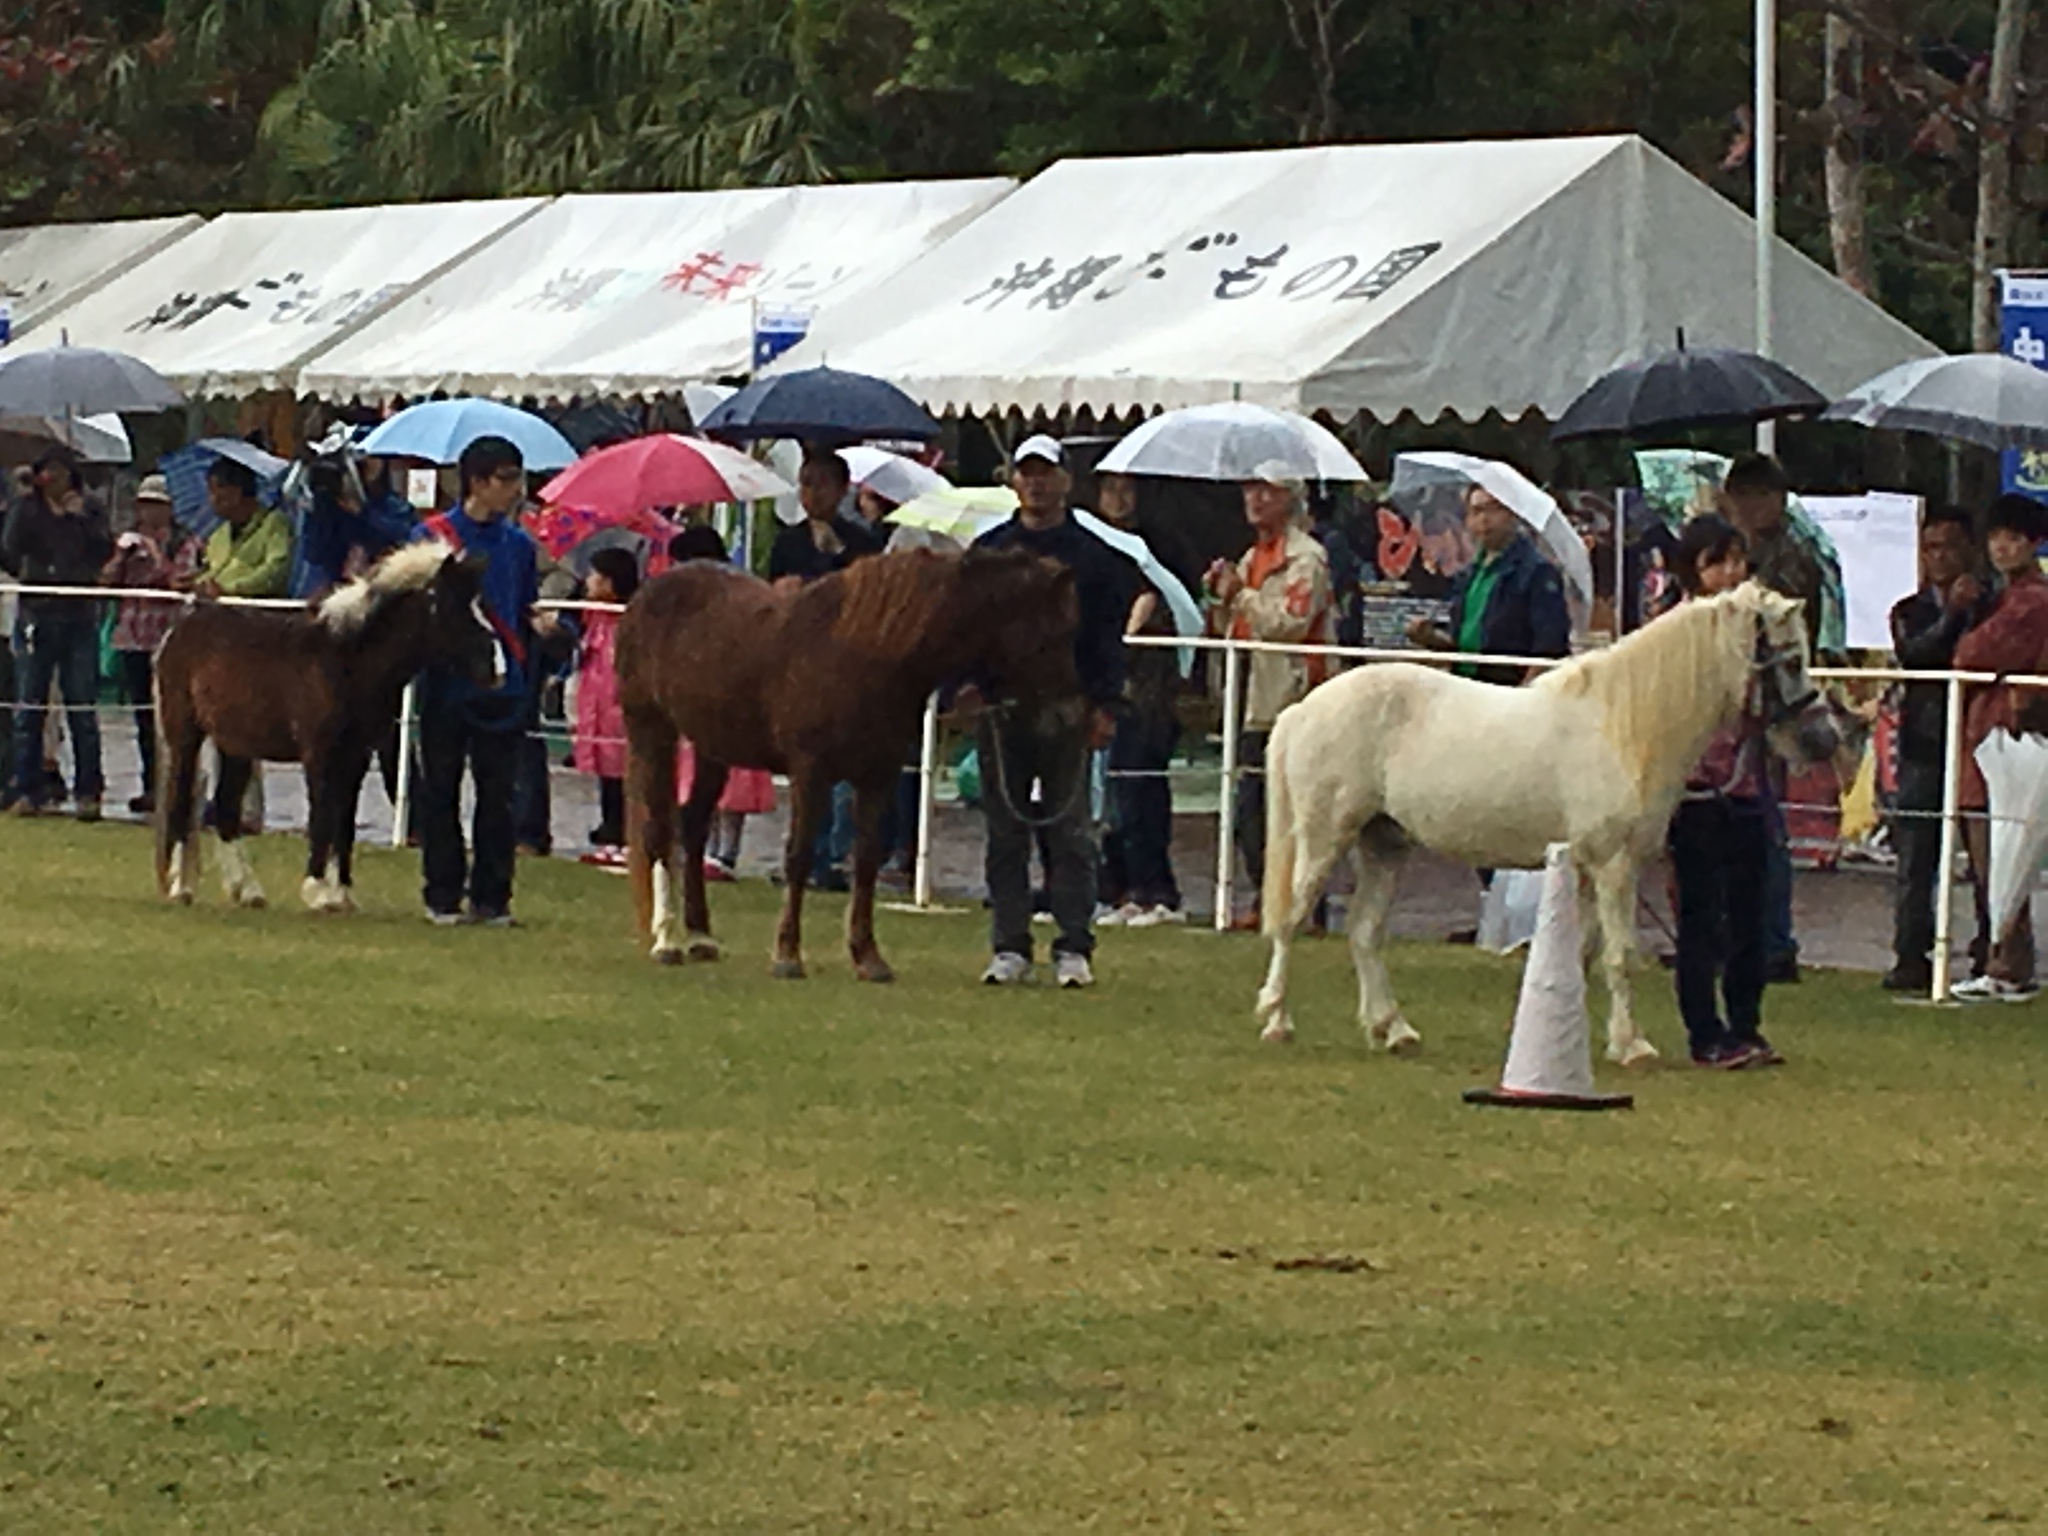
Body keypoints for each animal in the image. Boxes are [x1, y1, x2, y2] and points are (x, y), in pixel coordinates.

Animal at [152, 544, 499, 913]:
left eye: (480, 603)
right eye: (453, 604)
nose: (494, 666)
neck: (348, 661)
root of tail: (180, 628)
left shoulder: (356, 755)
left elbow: (343, 820)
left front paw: (341, 893)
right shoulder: (319, 753)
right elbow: (322, 815)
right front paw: (317, 891)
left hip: (235, 746)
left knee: (225, 809)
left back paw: (247, 891)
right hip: (186, 736)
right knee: (181, 801)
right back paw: (182, 887)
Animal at [614, 552, 1081, 978]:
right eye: (1053, 635)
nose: (1069, 717)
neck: (865, 655)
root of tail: (649, 592)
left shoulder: (877, 777)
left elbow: (868, 860)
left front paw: (868, 957)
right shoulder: (811, 773)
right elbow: (800, 855)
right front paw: (788, 956)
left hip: (713, 747)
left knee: (692, 827)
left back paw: (701, 937)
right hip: (651, 729)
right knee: (659, 830)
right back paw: (667, 941)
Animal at [1253, 581, 1835, 1064]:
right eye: (1790, 660)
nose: (1823, 739)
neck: (1623, 726)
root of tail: (1303, 709)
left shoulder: (1588, 871)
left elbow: (1582, 956)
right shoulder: (1614, 866)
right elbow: (1621, 957)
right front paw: (1633, 1047)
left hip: (1384, 844)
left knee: (1365, 933)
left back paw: (1393, 1030)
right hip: (1324, 840)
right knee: (1291, 921)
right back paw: (1278, 1021)